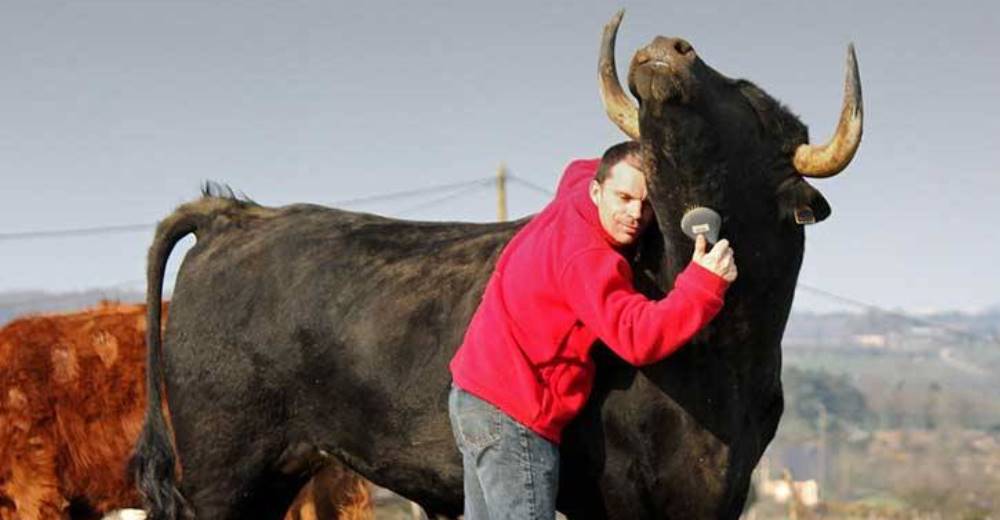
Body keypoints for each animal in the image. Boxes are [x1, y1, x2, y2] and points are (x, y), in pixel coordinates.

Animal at [131, 12, 860, 520]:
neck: (719, 363)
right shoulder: (618, 492)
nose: (666, 44)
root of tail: (239, 214)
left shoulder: (722, 491)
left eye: (758, 110)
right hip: (224, 470)